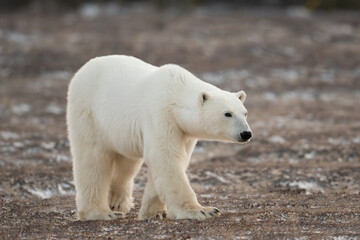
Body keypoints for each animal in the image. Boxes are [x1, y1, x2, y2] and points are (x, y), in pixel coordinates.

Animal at [67, 54, 253, 221]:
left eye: (244, 113)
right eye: (227, 114)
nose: (246, 133)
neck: (175, 92)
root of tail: (83, 70)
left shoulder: (183, 131)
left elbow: (172, 162)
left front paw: (153, 212)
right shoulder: (160, 115)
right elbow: (165, 157)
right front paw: (203, 211)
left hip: (121, 133)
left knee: (127, 163)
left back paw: (116, 202)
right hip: (88, 114)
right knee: (93, 160)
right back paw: (102, 213)